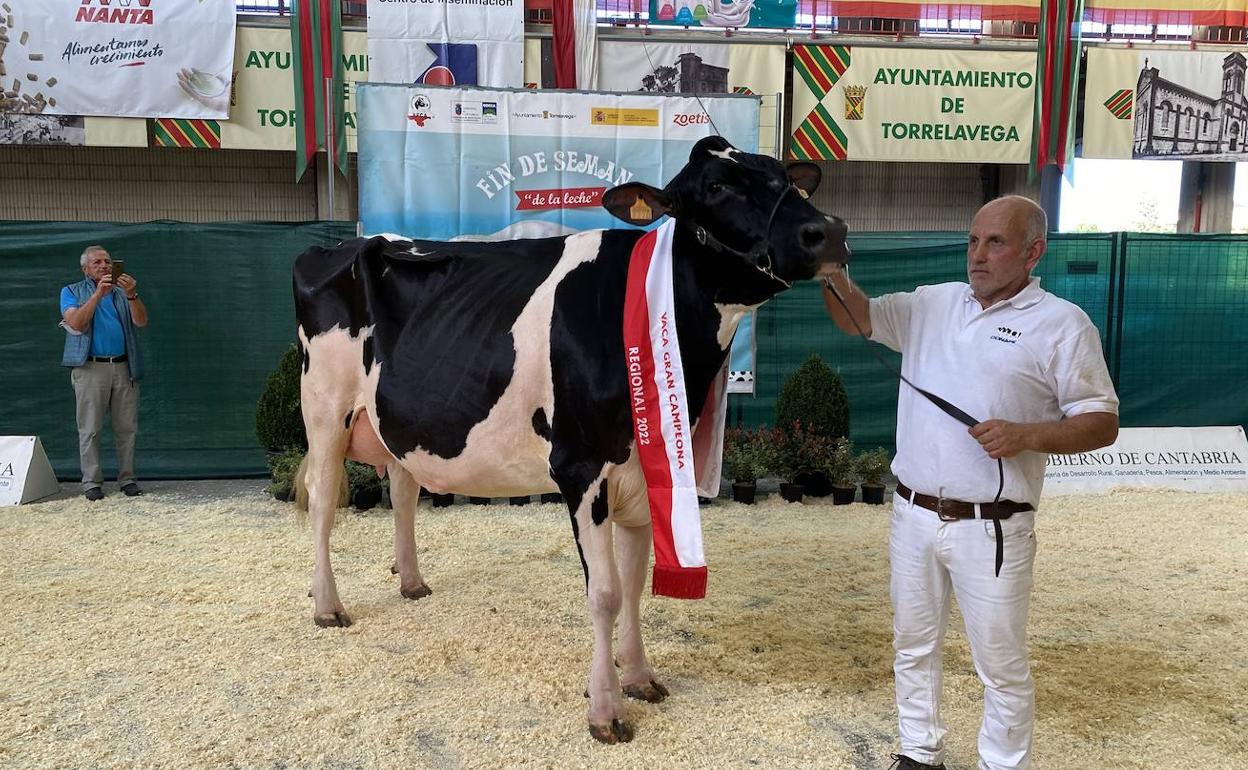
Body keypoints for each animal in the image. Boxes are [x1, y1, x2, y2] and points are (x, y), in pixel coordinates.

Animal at [292, 135, 848, 743]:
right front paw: (605, 710)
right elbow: (605, 594)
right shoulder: (582, 469)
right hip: (324, 409)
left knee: (402, 492)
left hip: (396, 421)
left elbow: (634, 584)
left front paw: (640, 677)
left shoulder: (642, 471)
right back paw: (327, 606)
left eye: (785, 178)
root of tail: (348, 243)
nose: (828, 231)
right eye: (718, 186)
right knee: (322, 503)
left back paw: (412, 581)